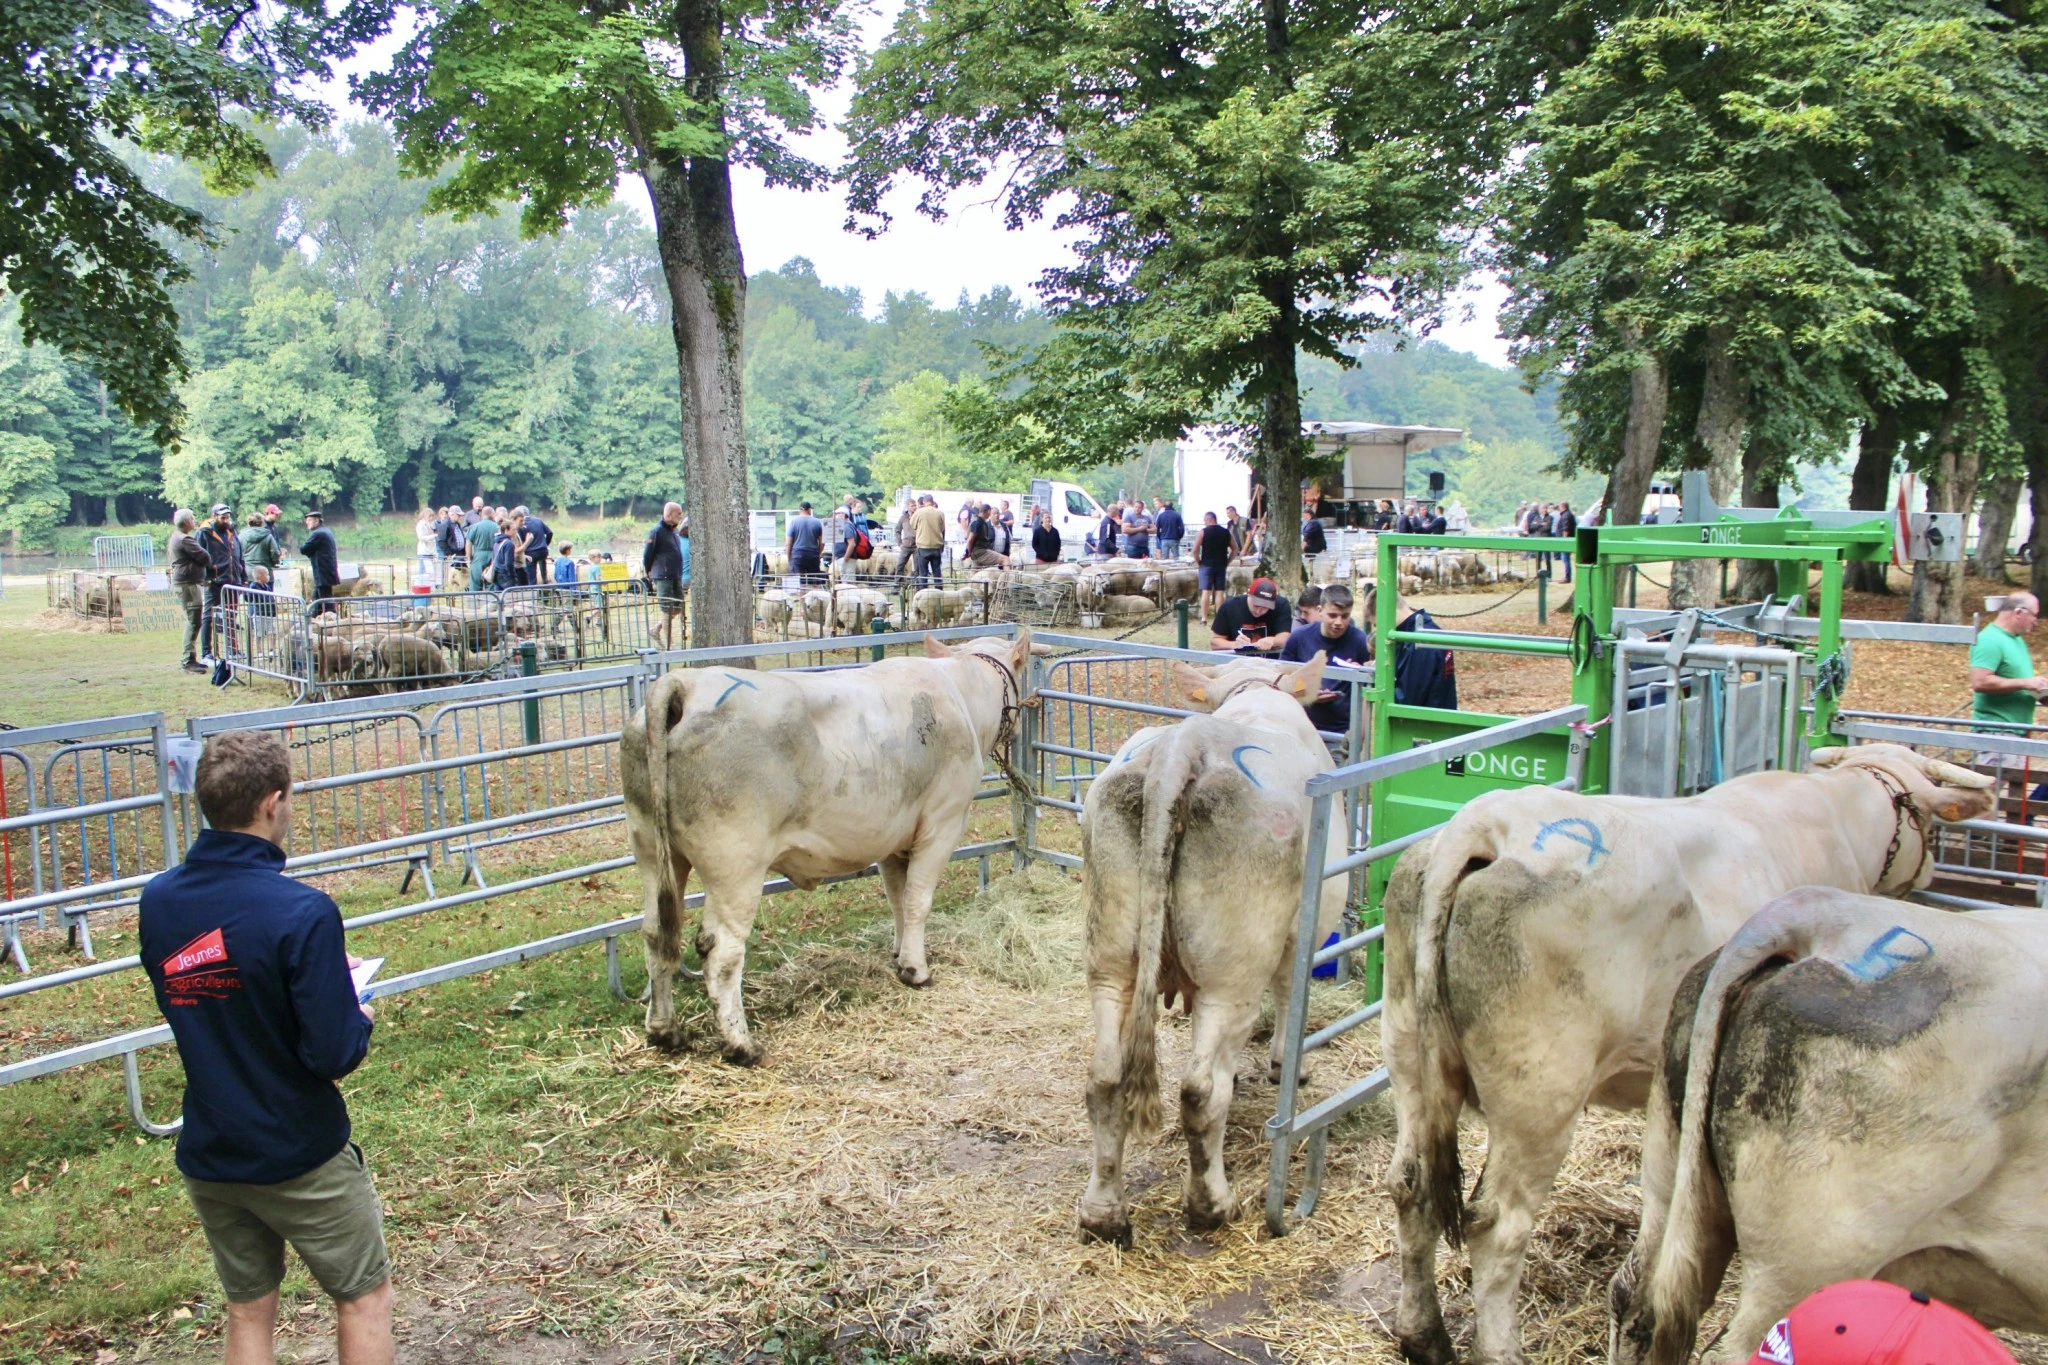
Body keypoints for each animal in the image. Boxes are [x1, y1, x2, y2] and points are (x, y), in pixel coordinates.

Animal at [618, 630, 1040, 1064]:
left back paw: (665, 1031)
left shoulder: (892, 835)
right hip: (735, 861)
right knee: (720, 951)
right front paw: (916, 970)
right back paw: (742, 1045)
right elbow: (917, 901)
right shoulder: (942, 822)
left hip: (650, 845)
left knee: (656, 933)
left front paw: (899, 953)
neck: (961, 694)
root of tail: (684, 682)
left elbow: (897, 898)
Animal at [1073, 654, 1343, 1244]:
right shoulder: (1303, 933)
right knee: (1199, 1090)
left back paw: (1103, 1214)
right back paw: (1212, 1205)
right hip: (1232, 973)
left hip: (1110, 956)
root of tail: (1181, 746)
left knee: (1105, 1078)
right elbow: (1291, 997)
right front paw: (1287, 1066)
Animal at [1384, 749, 1990, 1365]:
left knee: (1411, 1187)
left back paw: (1424, 1338)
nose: (1931, 871)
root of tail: (1487, 822)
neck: (1837, 816)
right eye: (1927, 818)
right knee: (1497, 1225)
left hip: (1408, 1049)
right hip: (1540, 1091)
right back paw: (1500, 1350)